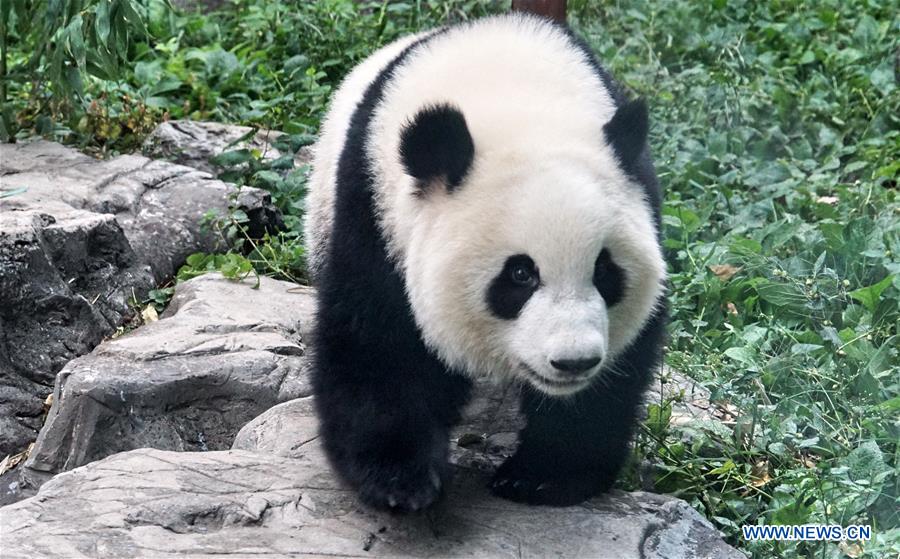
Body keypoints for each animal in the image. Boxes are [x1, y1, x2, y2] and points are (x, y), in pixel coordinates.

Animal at [305, 13, 667, 511]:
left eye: (604, 271)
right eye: (520, 274)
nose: (574, 362)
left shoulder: (642, 193)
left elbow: (622, 367)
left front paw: (544, 476)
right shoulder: (373, 210)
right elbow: (378, 341)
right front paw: (401, 480)